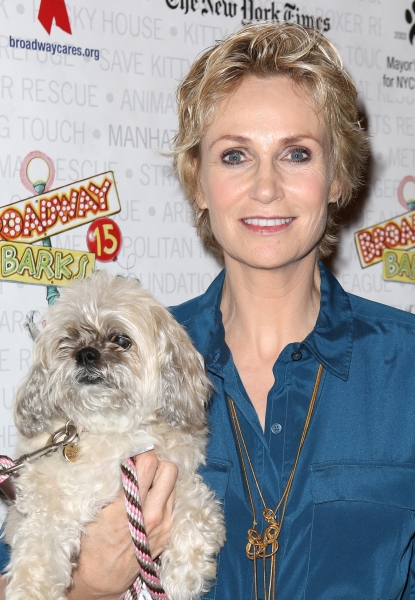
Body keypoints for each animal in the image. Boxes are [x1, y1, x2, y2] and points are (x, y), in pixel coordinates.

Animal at [3, 274, 226, 600]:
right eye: (67, 340)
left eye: (121, 340)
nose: (85, 354)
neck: (110, 429)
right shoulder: (48, 501)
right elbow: (39, 549)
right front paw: (31, 590)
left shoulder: (176, 475)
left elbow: (197, 512)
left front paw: (183, 577)